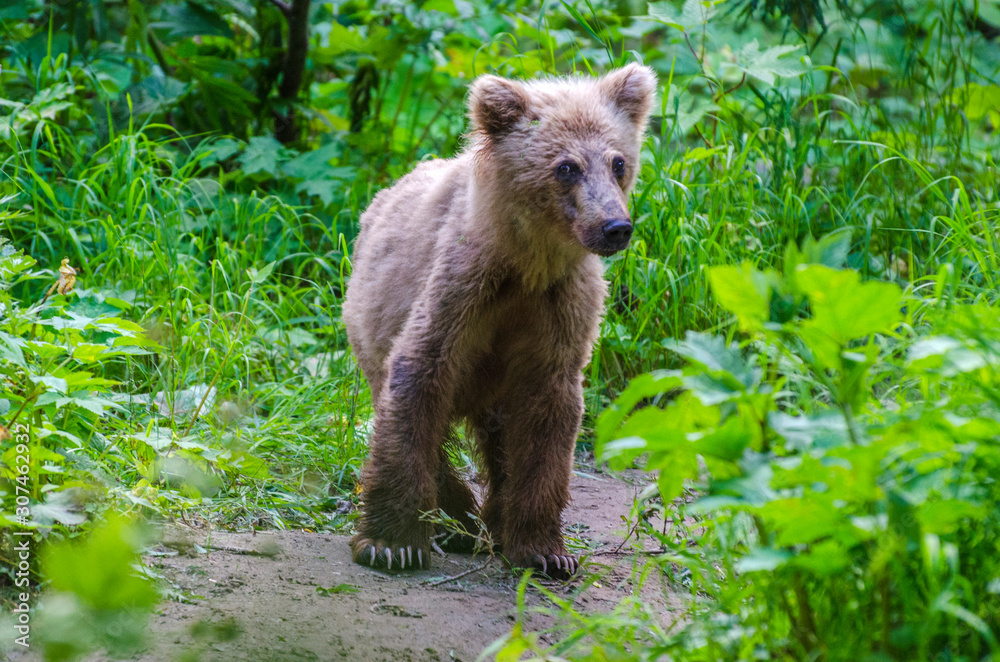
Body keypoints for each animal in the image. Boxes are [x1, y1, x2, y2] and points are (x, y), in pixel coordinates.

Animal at [342, 63, 657, 579]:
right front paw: (392, 544)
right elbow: (417, 380)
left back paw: (488, 522)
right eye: (566, 166)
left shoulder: (558, 311)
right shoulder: (463, 292)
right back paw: (459, 519)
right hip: (370, 329)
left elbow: (548, 417)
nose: (615, 227)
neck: (527, 265)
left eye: (618, 162)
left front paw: (546, 550)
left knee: (500, 439)